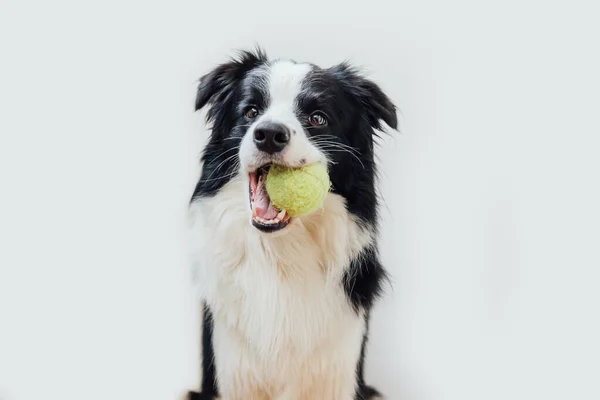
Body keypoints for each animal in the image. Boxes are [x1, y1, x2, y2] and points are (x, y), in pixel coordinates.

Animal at [188, 47, 398, 400]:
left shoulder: (337, 371)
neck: (282, 253)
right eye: (251, 111)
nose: (270, 134)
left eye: (317, 118)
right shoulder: (230, 368)